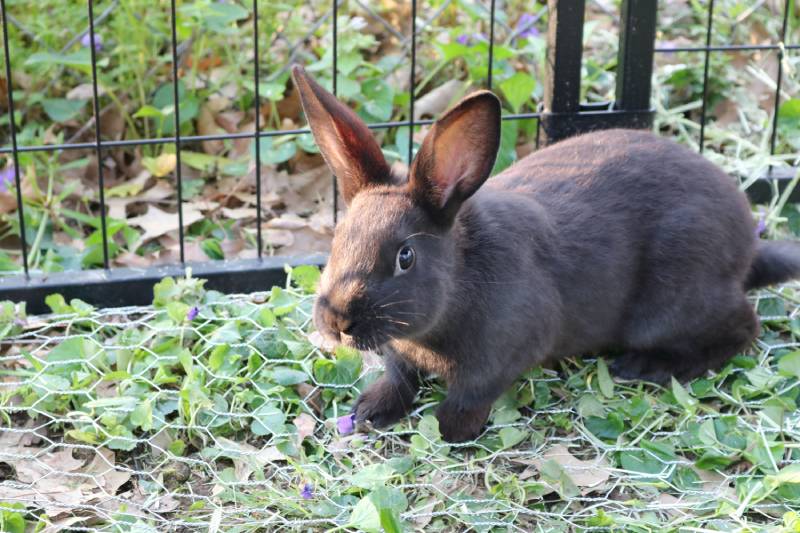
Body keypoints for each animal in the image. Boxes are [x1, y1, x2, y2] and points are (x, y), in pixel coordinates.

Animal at [291, 65, 800, 443]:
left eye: (406, 257)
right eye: (338, 239)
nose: (336, 321)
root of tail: (745, 242)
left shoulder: (504, 352)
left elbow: (470, 394)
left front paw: (451, 429)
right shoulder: (400, 356)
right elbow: (400, 379)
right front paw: (369, 410)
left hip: (671, 302)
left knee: (744, 327)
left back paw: (643, 367)